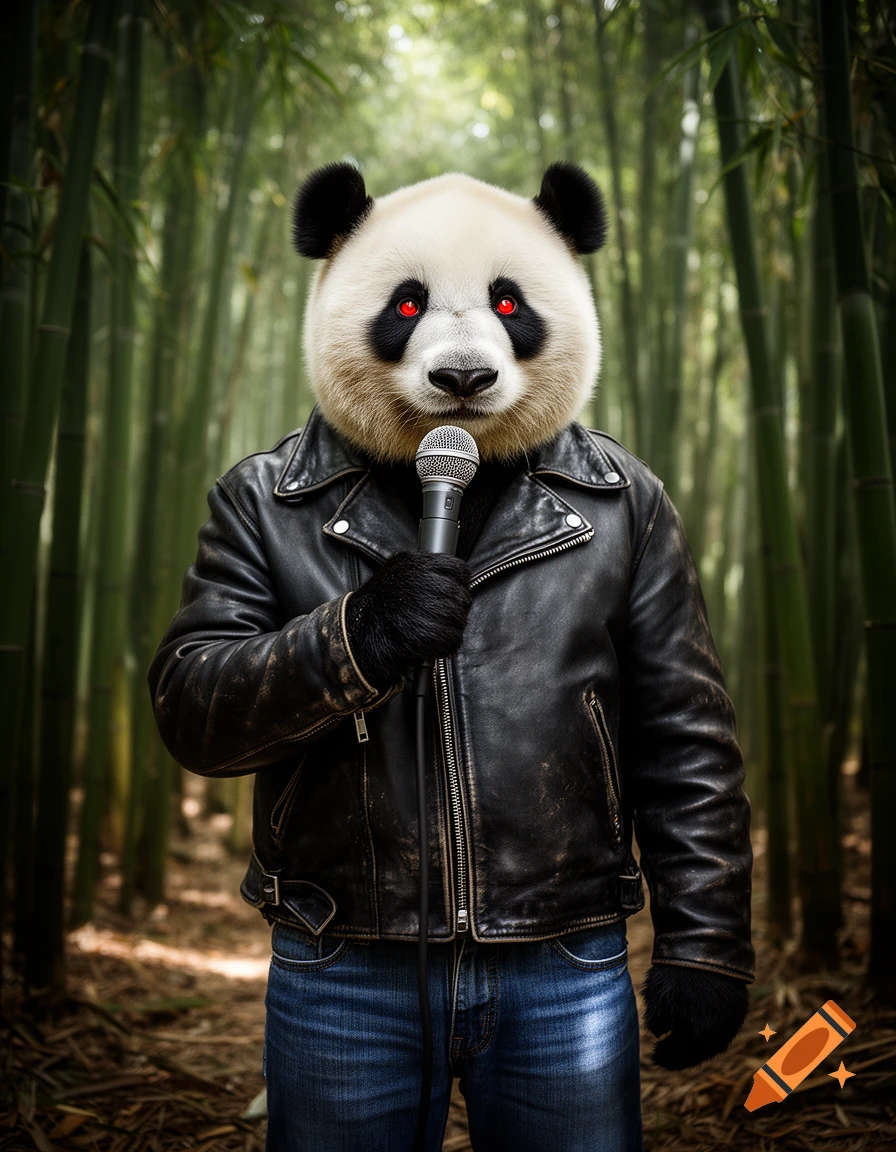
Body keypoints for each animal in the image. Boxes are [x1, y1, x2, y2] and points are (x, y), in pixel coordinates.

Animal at [149, 161, 753, 1151]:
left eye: (509, 301)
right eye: (407, 303)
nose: (463, 377)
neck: (455, 482)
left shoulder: (655, 522)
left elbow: (678, 721)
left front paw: (698, 998)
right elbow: (200, 680)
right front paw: (402, 610)